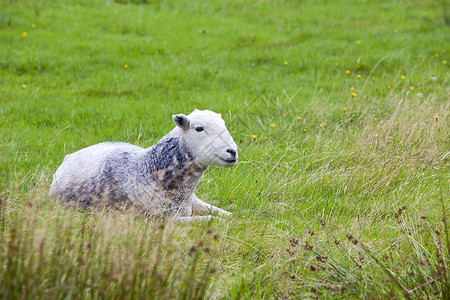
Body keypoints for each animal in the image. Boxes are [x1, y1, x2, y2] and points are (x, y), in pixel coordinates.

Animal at [49, 109, 239, 221]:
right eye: (199, 128)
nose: (233, 151)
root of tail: (69, 157)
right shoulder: (164, 219)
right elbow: (211, 219)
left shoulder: (196, 202)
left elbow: (228, 214)